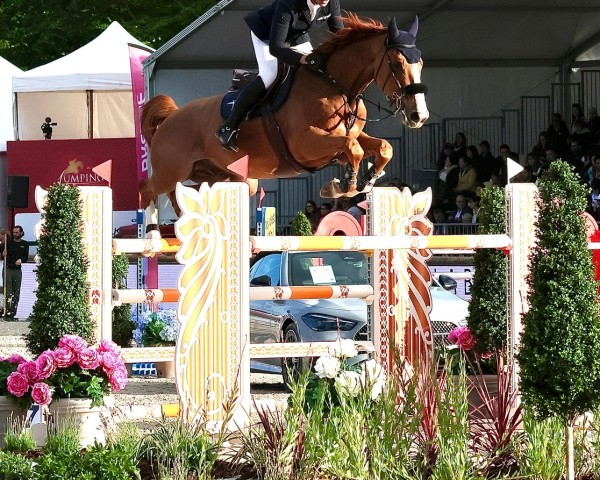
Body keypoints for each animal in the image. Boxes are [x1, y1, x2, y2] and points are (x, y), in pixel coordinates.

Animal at [139, 14, 426, 213]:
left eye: (421, 63)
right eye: (396, 63)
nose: (418, 116)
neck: (335, 86)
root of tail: (172, 116)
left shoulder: (350, 136)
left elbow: (382, 147)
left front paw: (363, 181)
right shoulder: (305, 144)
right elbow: (352, 148)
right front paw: (345, 185)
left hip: (221, 175)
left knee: (191, 192)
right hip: (171, 171)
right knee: (148, 189)